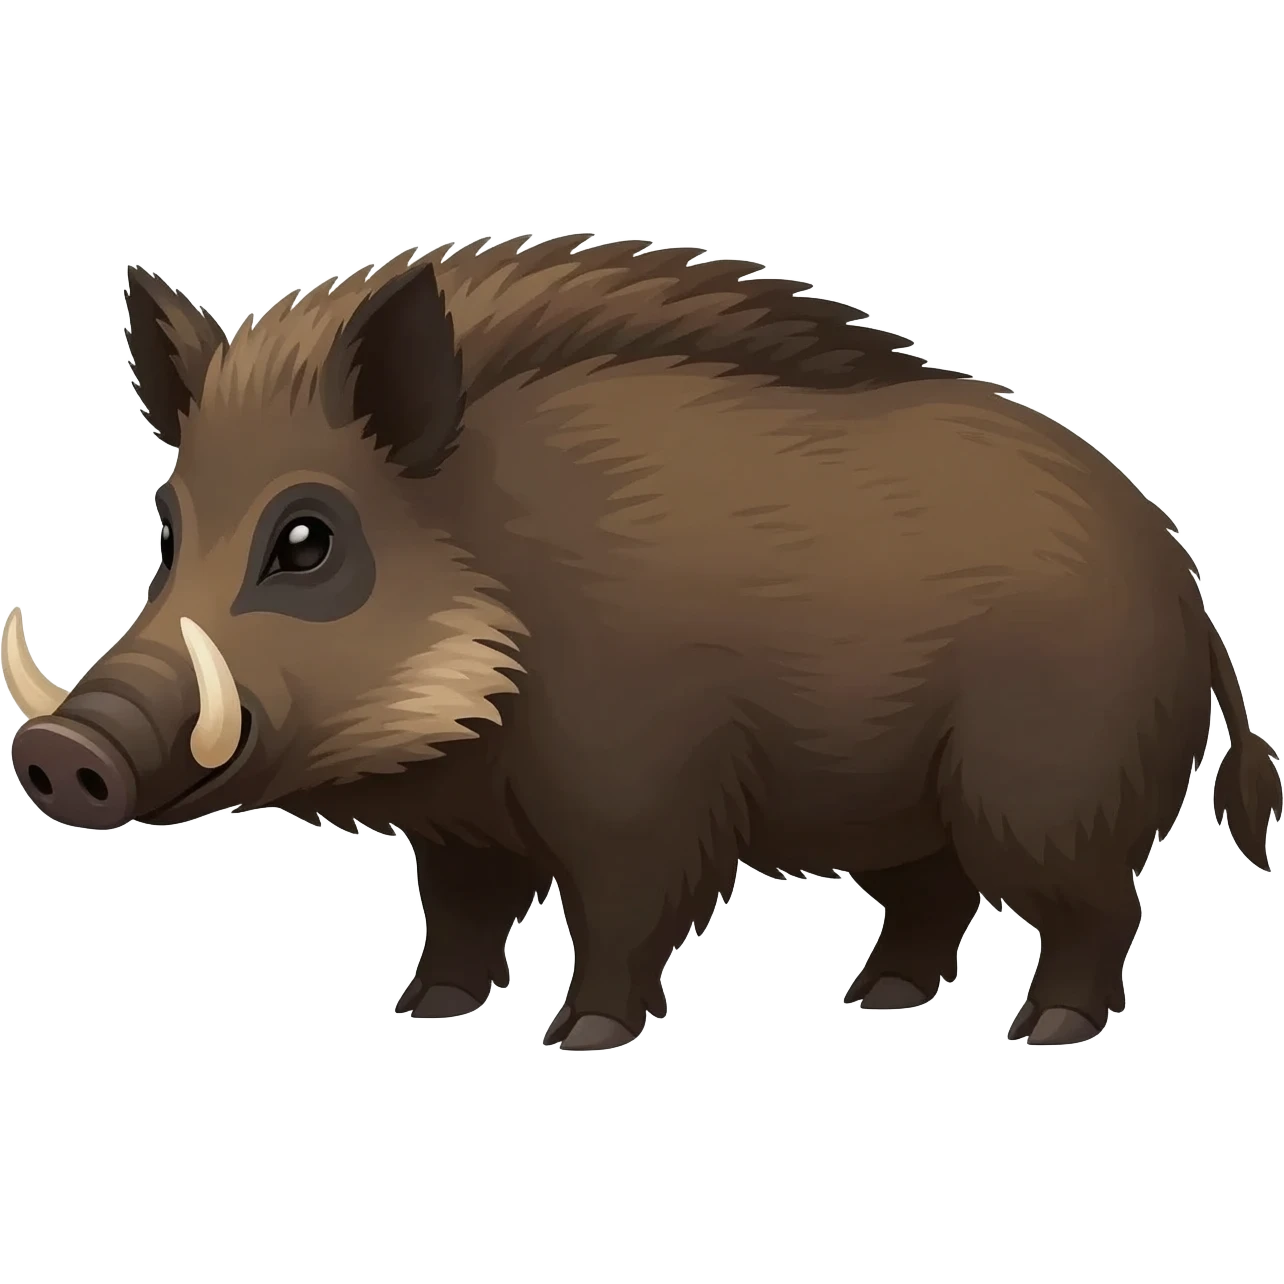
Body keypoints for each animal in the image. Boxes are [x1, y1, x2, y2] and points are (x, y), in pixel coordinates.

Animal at [3, 236, 1279, 1052]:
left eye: (306, 540)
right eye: (168, 528)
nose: (64, 754)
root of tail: (1187, 583)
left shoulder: (644, 796)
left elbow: (621, 918)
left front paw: (583, 1039)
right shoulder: (464, 825)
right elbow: (462, 915)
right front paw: (426, 1014)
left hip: (1047, 795)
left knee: (1096, 910)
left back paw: (1044, 1031)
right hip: (903, 806)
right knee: (934, 899)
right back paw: (876, 1003)